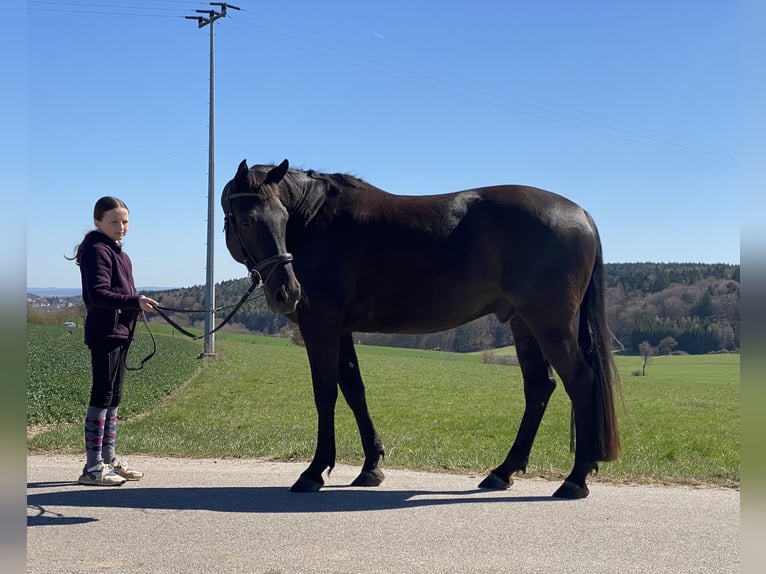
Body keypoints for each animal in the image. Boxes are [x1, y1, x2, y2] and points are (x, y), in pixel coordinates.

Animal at [221, 159, 621, 499]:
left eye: (282, 217)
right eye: (247, 220)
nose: (286, 292)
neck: (317, 220)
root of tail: (581, 215)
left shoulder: (320, 325)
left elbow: (326, 393)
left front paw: (314, 471)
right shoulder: (341, 330)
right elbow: (354, 390)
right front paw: (370, 466)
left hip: (550, 324)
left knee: (580, 381)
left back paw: (575, 479)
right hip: (524, 323)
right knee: (539, 387)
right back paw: (502, 472)